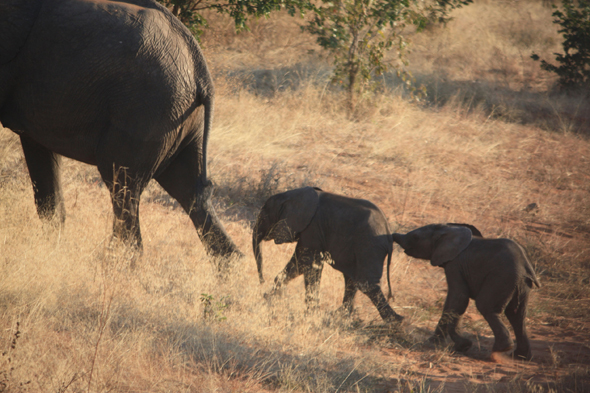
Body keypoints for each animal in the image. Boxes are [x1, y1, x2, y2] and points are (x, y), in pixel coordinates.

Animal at [0, 0, 240, 258]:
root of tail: (201, 72)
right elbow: (41, 156)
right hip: (178, 118)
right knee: (190, 191)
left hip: (145, 112)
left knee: (123, 186)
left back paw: (117, 262)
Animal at [252, 186, 404, 322]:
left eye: (264, 216)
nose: (262, 282)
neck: (291, 196)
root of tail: (389, 236)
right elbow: (304, 265)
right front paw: (267, 298)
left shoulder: (312, 229)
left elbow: (307, 263)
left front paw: (310, 314)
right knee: (352, 280)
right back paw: (339, 316)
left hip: (369, 248)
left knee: (366, 285)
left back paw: (395, 322)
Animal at [394, 224, 540, 358]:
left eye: (415, 237)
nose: (393, 235)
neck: (448, 229)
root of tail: (525, 266)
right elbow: (451, 302)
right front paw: (433, 342)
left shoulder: (455, 264)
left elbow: (459, 298)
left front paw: (463, 346)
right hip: (522, 284)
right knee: (517, 314)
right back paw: (520, 355)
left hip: (502, 277)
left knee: (485, 306)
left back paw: (501, 350)